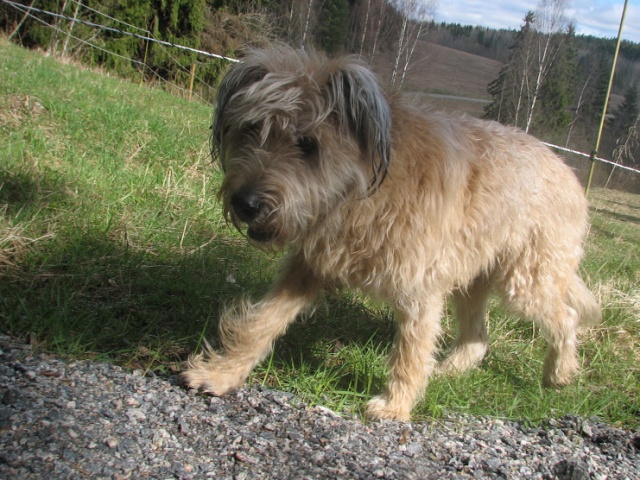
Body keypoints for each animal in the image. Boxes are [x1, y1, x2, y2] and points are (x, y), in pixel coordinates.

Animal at [183, 46, 600, 421]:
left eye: (308, 144)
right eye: (251, 128)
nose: (245, 203)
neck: (360, 195)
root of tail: (567, 169)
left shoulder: (420, 285)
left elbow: (410, 352)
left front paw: (395, 406)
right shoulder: (309, 267)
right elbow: (261, 322)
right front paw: (221, 373)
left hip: (528, 280)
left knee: (565, 317)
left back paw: (559, 373)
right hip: (471, 277)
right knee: (478, 336)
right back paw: (450, 369)